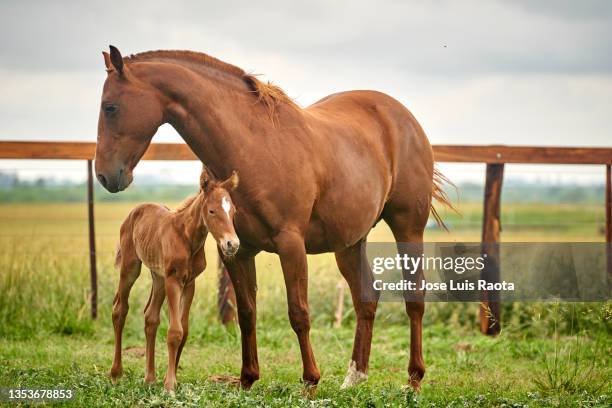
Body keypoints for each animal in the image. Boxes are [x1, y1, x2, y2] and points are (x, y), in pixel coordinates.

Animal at [110, 167, 239, 390]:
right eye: (212, 211)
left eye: (233, 211)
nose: (232, 244)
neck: (187, 238)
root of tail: (136, 210)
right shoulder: (174, 280)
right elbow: (174, 331)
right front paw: (170, 384)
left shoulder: (190, 282)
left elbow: (184, 330)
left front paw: (171, 379)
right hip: (131, 267)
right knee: (120, 309)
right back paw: (116, 373)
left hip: (158, 277)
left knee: (150, 317)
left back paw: (150, 378)